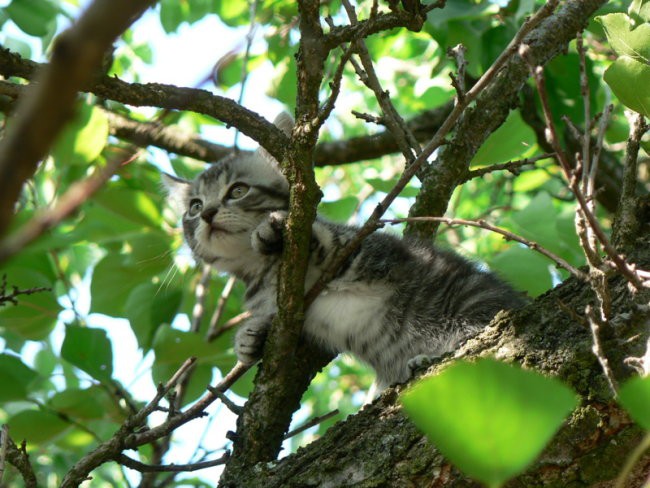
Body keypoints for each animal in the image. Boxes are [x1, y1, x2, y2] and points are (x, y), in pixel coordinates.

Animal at [162, 113, 520, 388]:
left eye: (238, 191)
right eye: (194, 207)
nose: (207, 214)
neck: (263, 270)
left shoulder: (359, 250)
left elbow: (328, 240)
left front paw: (274, 229)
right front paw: (249, 339)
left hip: (474, 302)